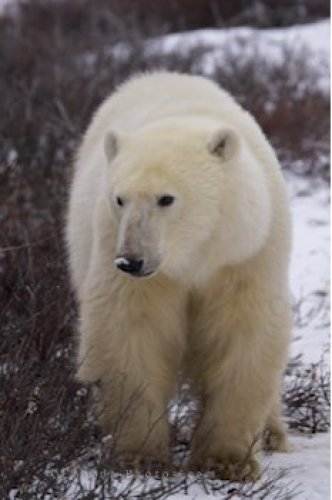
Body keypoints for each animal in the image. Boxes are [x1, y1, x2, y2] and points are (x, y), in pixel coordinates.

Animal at [66, 71, 292, 480]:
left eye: (166, 198)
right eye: (120, 198)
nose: (130, 261)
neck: (194, 257)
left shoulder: (246, 254)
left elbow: (243, 336)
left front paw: (227, 460)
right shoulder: (124, 255)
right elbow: (133, 333)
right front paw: (138, 455)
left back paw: (272, 433)